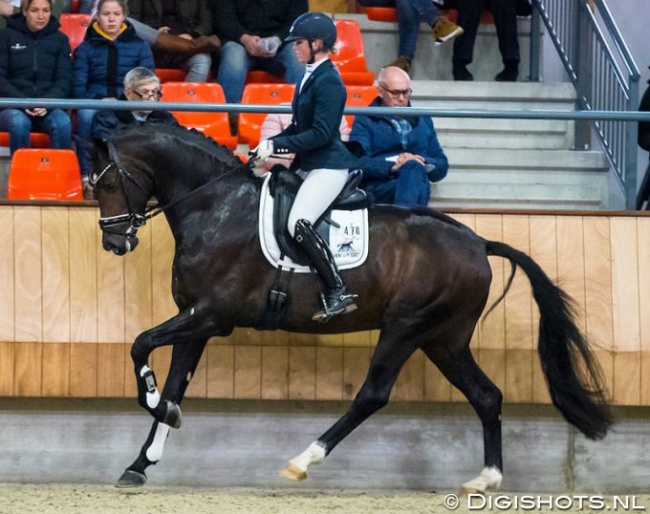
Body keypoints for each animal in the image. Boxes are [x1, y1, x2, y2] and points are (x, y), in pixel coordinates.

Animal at [91, 124, 612, 492]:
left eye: (109, 183)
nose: (115, 243)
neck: (216, 207)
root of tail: (478, 242)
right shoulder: (196, 318)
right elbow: (173, 384)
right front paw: (140, 463)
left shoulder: (211, 317)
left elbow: (140, 347)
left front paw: (156, 410)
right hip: (444, 339)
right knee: (487, 396)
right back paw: (486, 479)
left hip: (406, 328)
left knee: (372, 395)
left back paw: (303, 460)